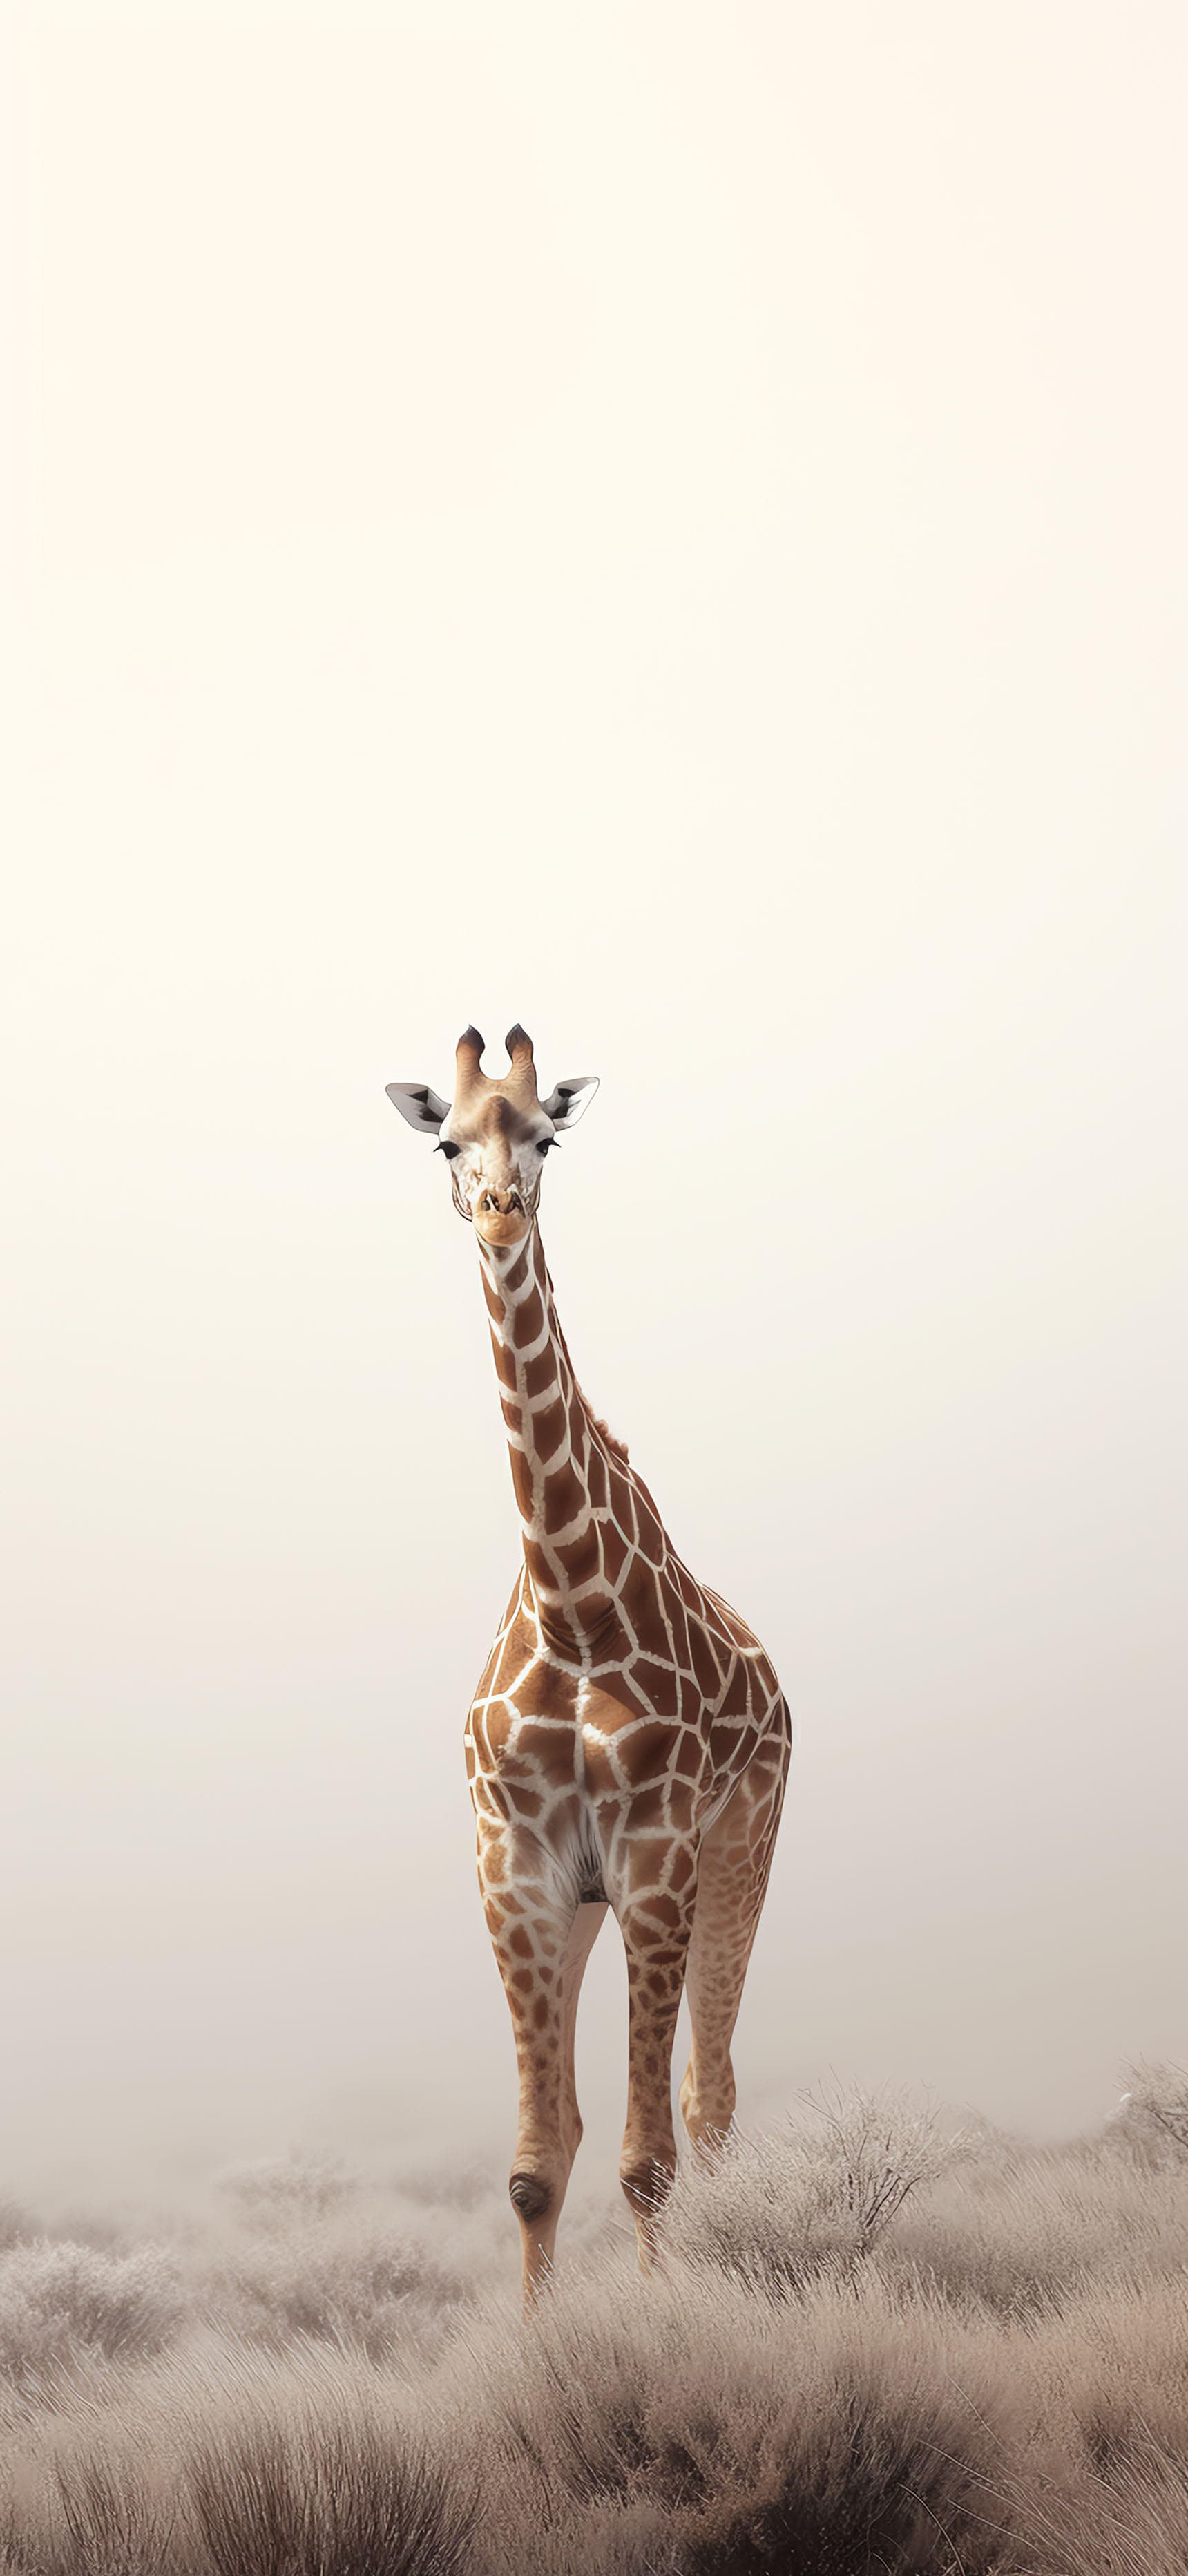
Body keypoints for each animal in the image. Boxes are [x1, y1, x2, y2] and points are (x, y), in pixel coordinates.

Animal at [387, 1025, 791, 2296]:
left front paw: (668, 2322)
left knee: (711, 2101)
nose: (500, 1209)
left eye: (545, 1135)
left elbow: (647, 2159)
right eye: (450, 1141)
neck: (573, 1607)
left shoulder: (659, 1855)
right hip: (585, 1902)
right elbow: (536, 2163)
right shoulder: (514, 1866)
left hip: (740, 1851)